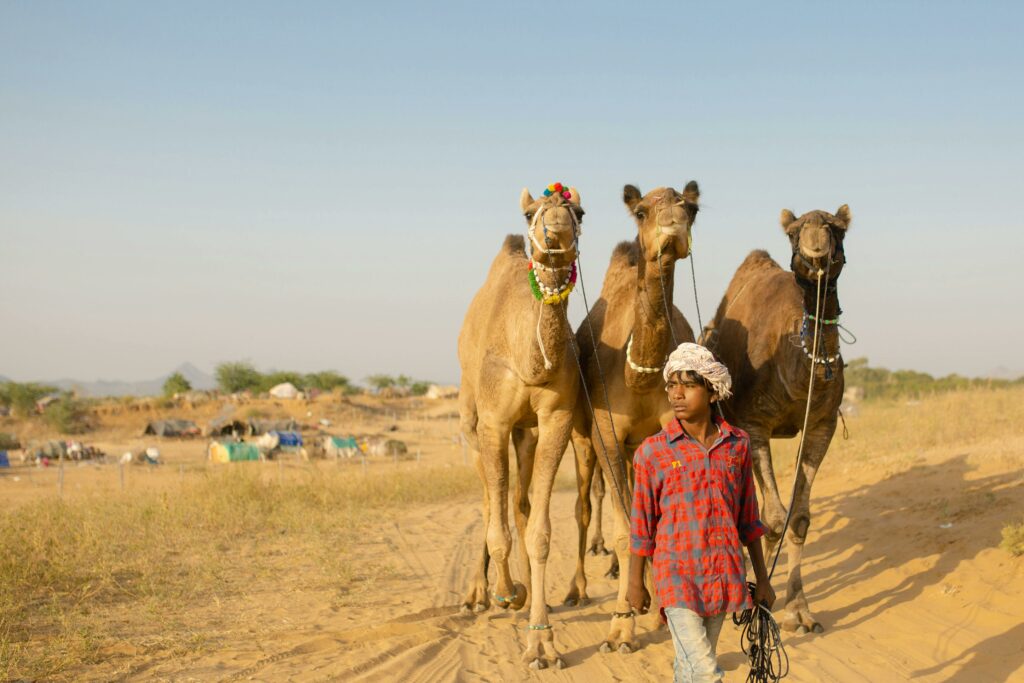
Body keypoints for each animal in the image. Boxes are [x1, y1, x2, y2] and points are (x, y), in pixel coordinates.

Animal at [458, 183, 584, 669]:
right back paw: (482, 593)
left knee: (520, 502)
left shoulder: (556, 418)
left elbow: (540, 532)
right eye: (532, 213)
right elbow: (497, 529)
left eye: (579, 211)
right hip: (471, 421)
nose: (557, 225)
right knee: (489, 500)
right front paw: (506, 593)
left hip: (525, 434)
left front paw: (541, 642)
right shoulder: (493, 422)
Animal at [563, 183, 700, 654]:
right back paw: (577, 589)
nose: (674, 225)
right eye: (641, 211)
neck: (637, 376)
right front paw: (621, 627)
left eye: (692, 208)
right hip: (583, 441)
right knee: (584, 507)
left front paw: (661, 610)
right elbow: (625, 535)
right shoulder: (606, 434)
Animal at [701, 205, 851, 634]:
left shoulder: (821, 425)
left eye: (837, 228)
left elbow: (796, 519)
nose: (816, 245)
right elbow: (771, 518)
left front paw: (800, 609)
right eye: (794, 232)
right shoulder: (755, 426)